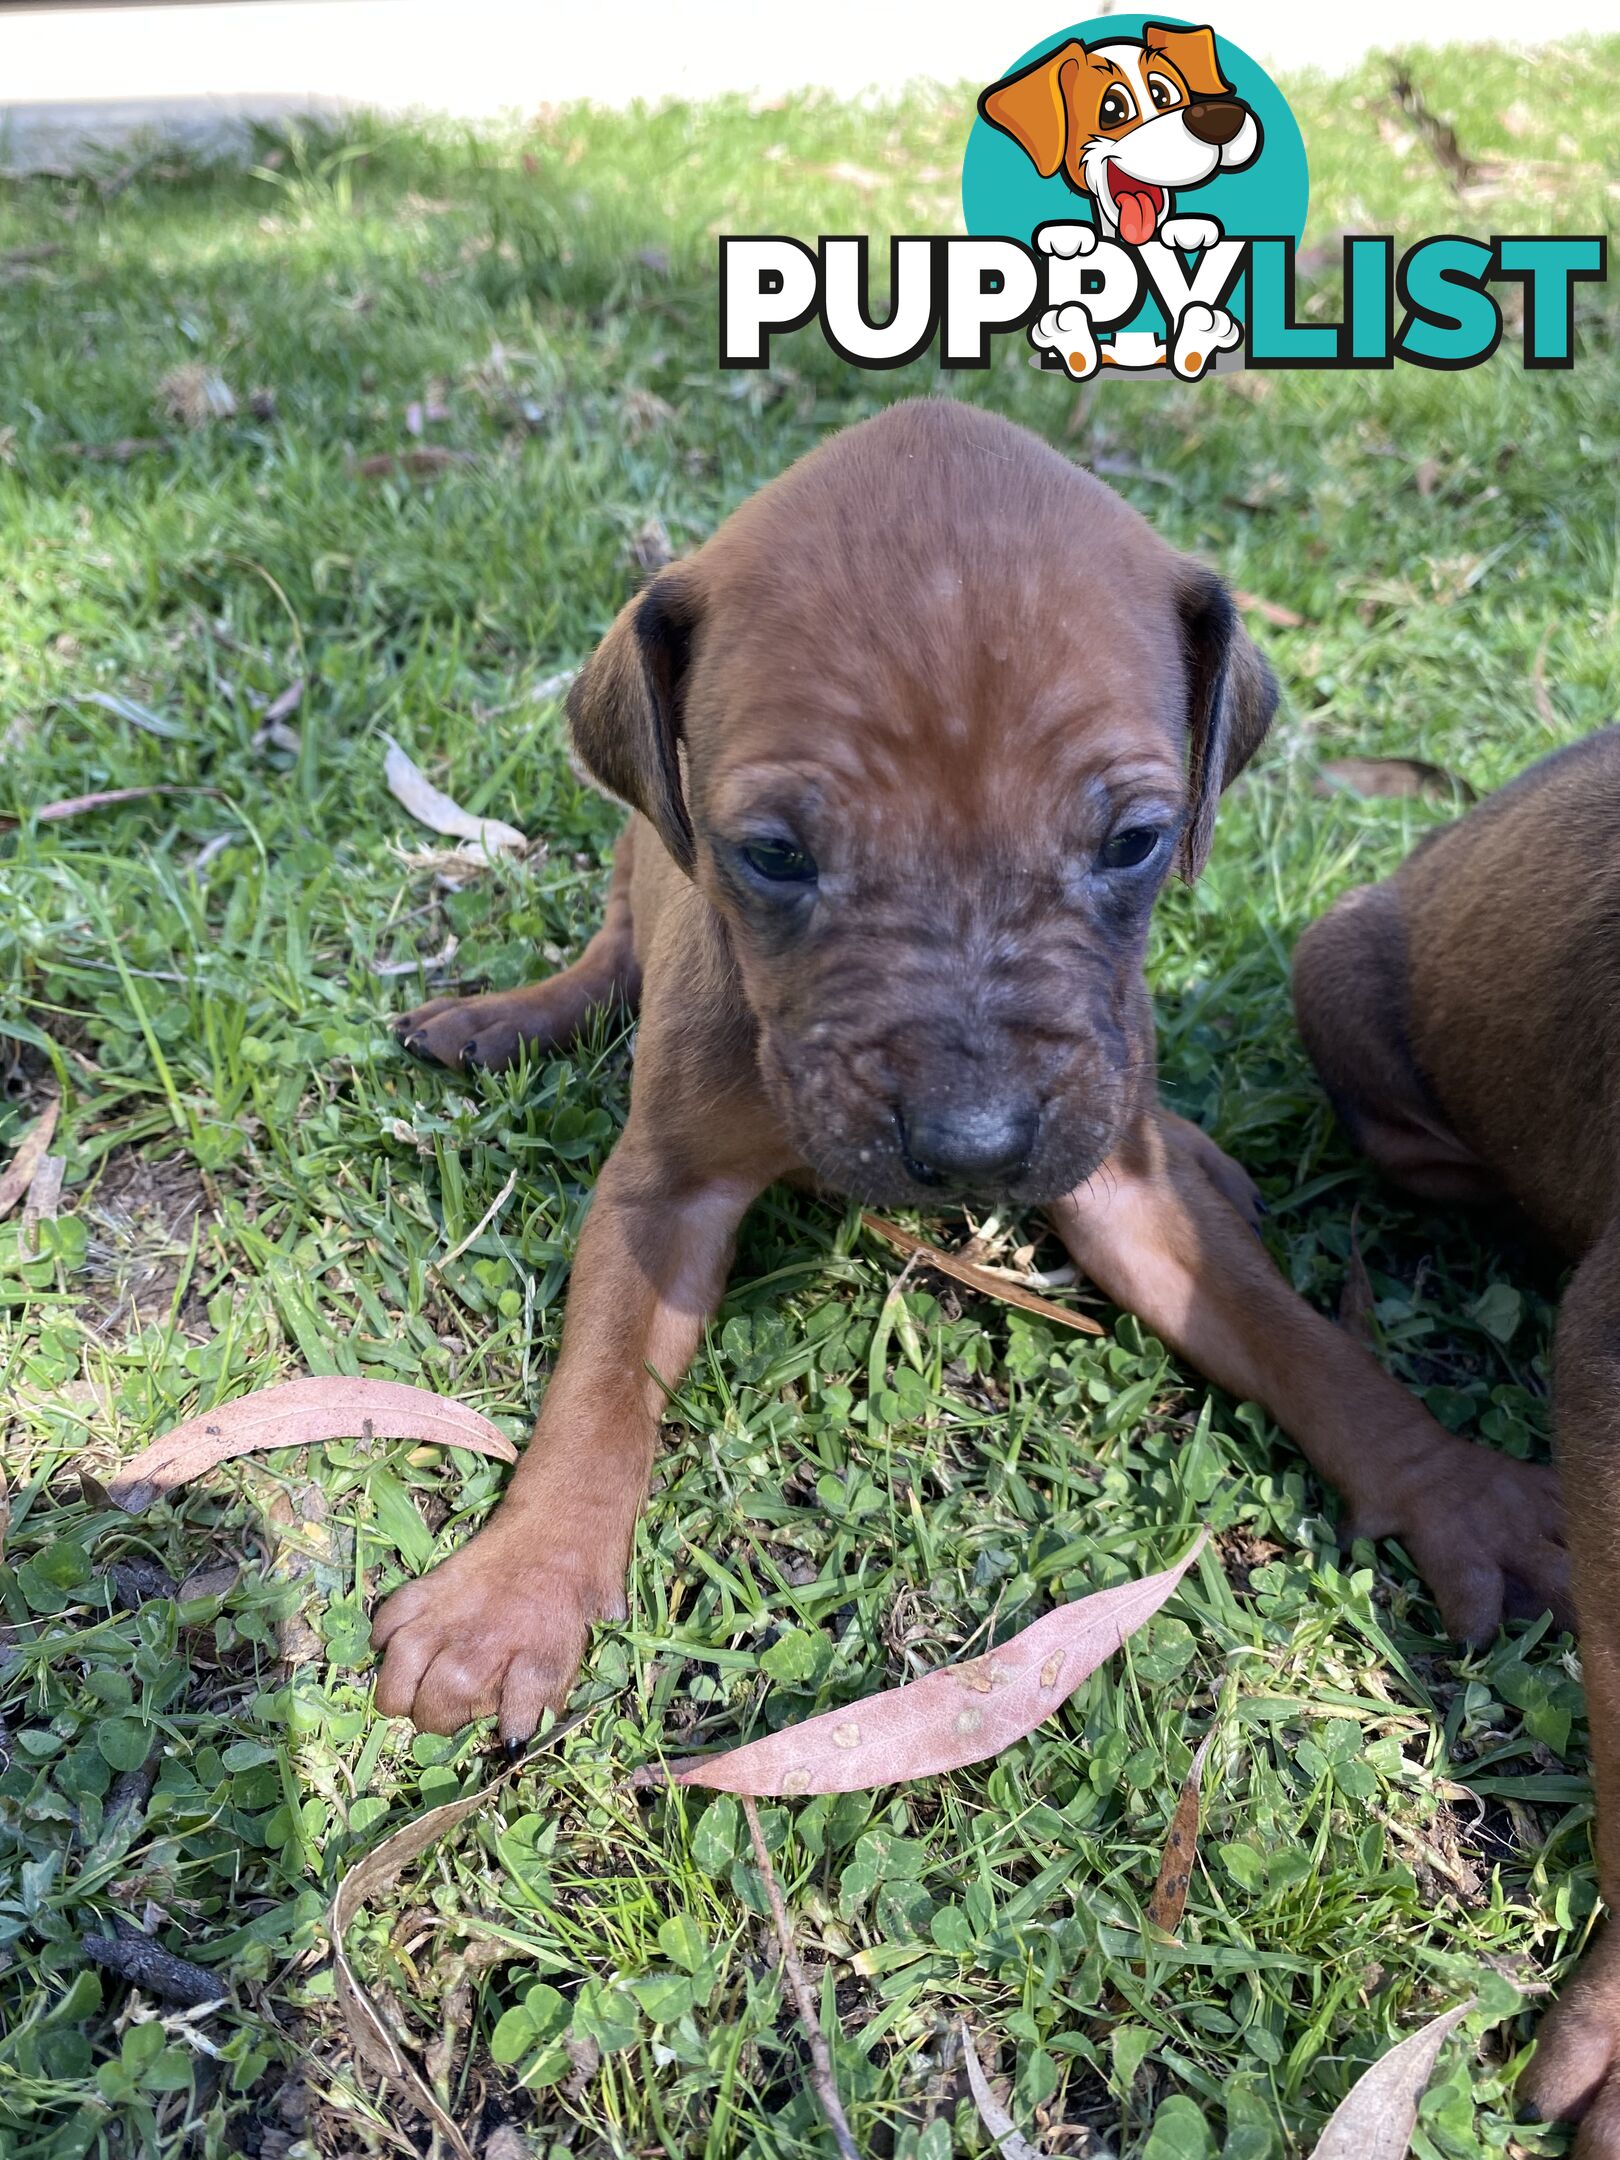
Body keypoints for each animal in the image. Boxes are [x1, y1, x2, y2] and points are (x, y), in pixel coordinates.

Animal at [371, 393, 1572, 1771]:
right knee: (612, 941)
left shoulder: (1124, 1189)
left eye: (1136, 842)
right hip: (634, 857)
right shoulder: (659, 1189)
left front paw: (1456, 1489)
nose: (975, 1149)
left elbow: (1303, 1343)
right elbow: (603, 1383)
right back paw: (507, 1018)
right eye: (771, 856)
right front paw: (516, 1589)